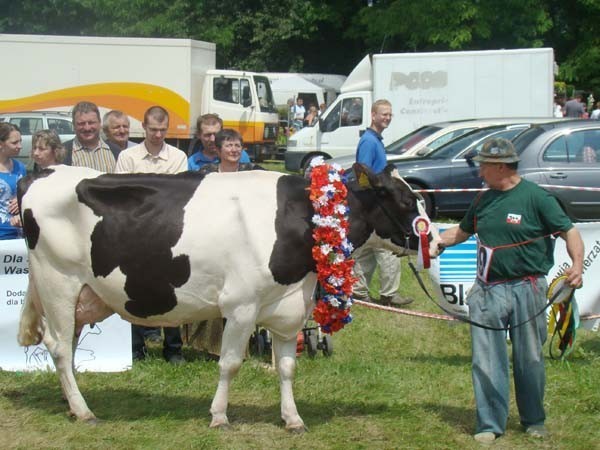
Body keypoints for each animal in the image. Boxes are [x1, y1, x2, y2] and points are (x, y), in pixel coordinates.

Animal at [17, 163, 432, 430]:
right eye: (405, 200)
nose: (436, 239)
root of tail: (41, 172)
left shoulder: (288, 309)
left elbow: (287, 366)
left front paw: (293, 419)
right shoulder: (241, 305)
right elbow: (230, 364)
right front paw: (219, 416)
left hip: (79, 295)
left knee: (69, 346)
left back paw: (71, 404)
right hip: (58, 282)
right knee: (58, 345)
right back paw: (84, 411)